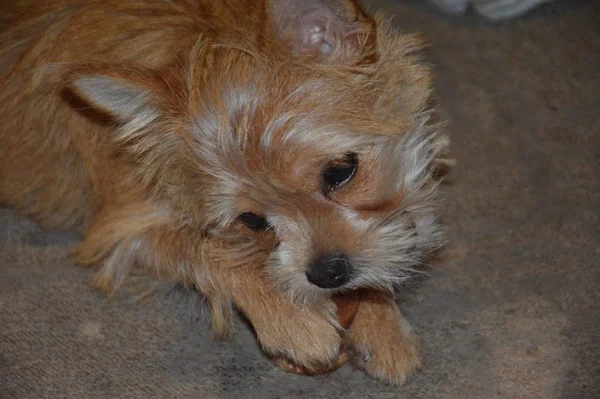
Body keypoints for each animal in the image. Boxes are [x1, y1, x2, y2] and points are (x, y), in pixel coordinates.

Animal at [0, 0, 450, 386]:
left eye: (340, 172)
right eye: (252, 220)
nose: (327, 274)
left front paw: (382, 323)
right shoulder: (123, 227)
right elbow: (210, 248)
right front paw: (291, 317)